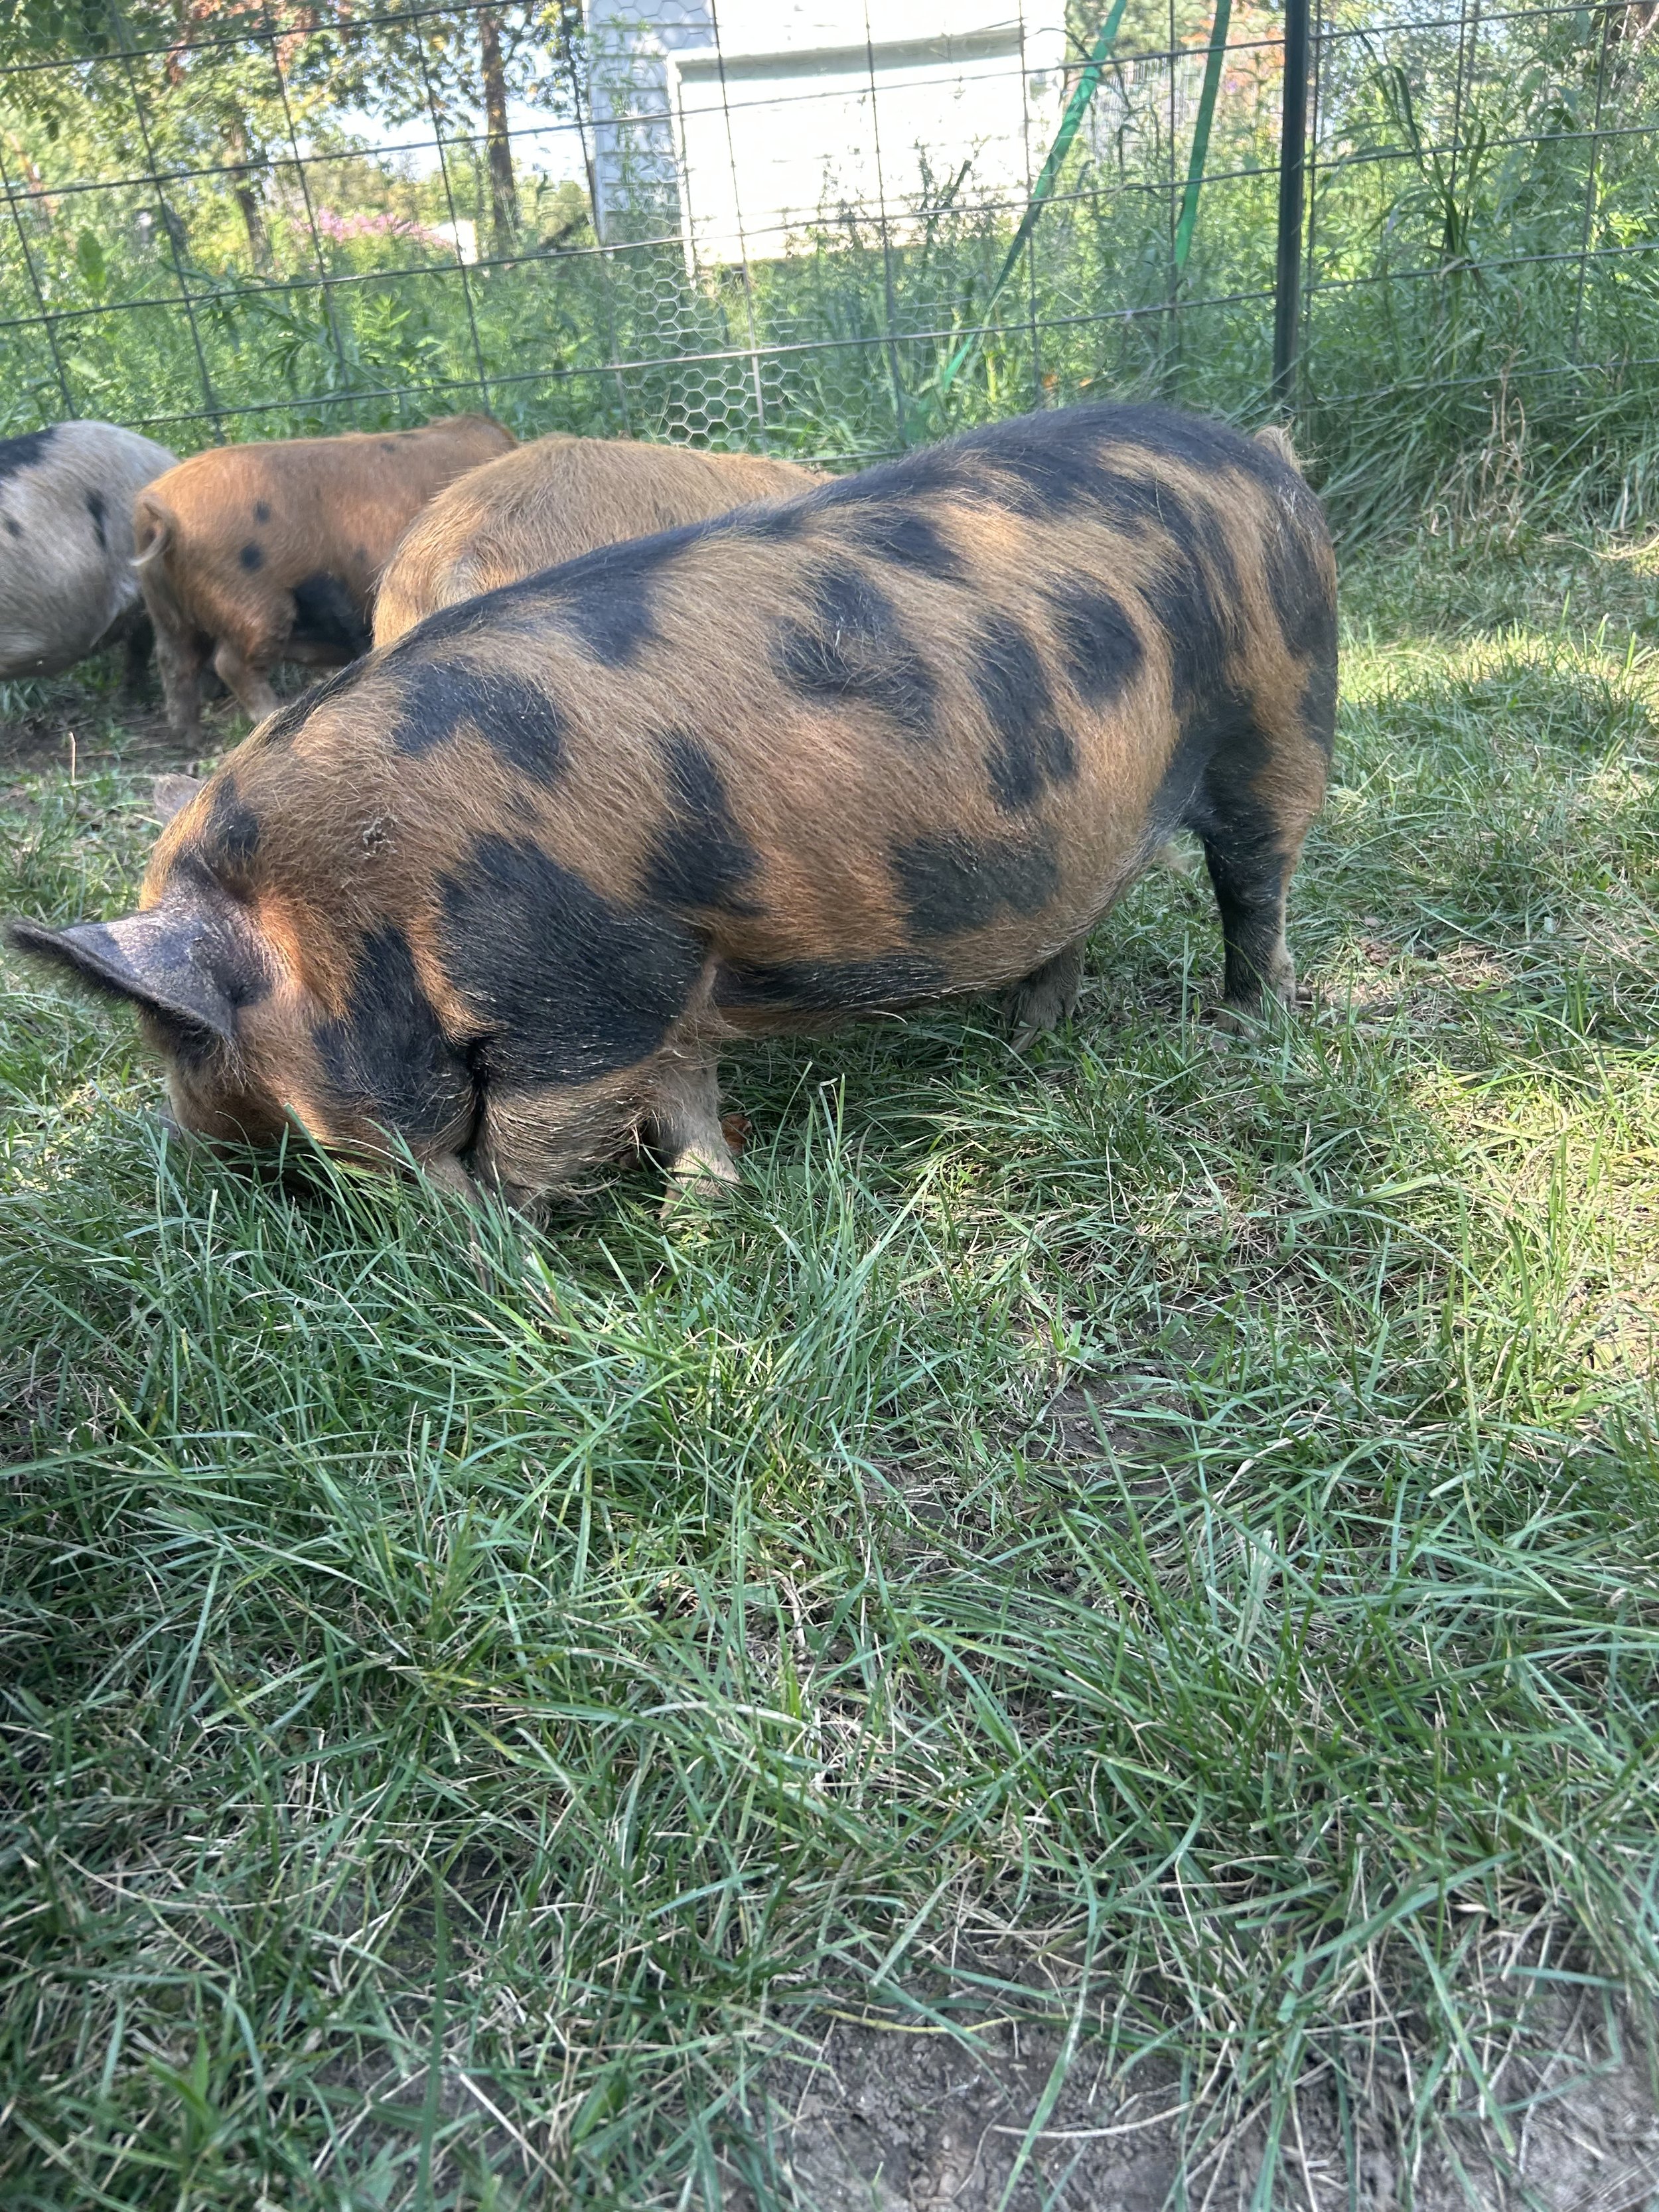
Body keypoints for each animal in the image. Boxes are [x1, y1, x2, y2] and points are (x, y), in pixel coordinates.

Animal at [132, 414, 516, 738]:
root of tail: (160, 511)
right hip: (253, 605)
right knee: (230, 664)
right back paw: (273, 714)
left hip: (165, 609)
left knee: (174, 661)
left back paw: (188, 738)